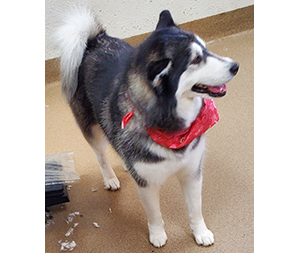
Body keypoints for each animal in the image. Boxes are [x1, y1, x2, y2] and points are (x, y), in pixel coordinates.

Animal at [55, 8, 239, 248]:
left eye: (206, 49)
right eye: (196, 59)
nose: (235, 66)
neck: (171, 128)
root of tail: (94, 40)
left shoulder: (192, 173)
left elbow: (195, 209)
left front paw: (200, 232)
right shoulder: (147, 185)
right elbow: (154, 214)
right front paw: (157, 235)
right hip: (94, 130)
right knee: (101, 155)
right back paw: (110, 178)